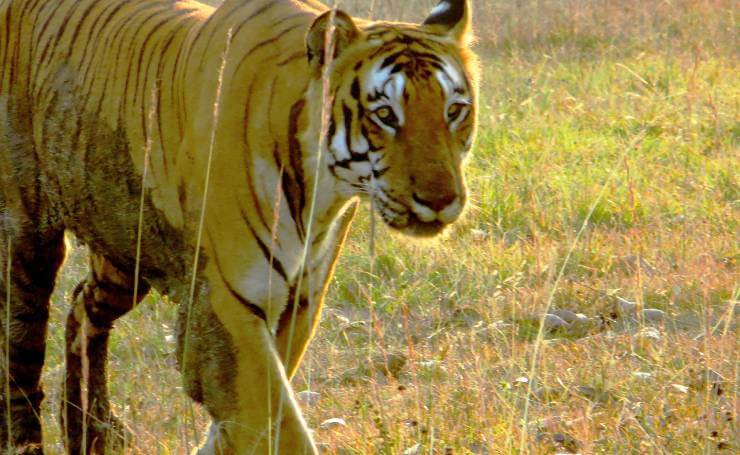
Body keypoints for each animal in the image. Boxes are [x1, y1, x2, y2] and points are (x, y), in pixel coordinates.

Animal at [0, 0, 480, 452]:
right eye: (385, 115)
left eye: (455, 110)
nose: (441, 200)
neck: (321, 193)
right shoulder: (225, 307)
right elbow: (276, 423)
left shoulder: (301, 302)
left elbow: (253, 421)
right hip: (28, 237)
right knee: (20, 349)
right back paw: (25, 440)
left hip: (124, 247)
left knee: (83, 306)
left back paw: (93, 433)